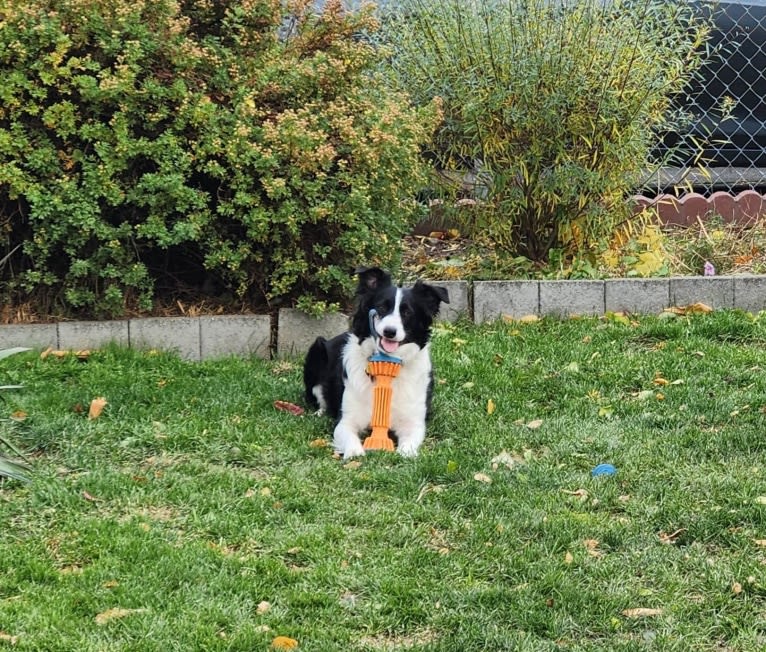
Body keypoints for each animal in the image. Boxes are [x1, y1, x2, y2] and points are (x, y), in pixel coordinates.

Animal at [304, 268, 452, 456]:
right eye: (381, 307)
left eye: (407, 312)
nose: (390, 331)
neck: (388, 361)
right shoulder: (345, 421)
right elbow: (351, 441)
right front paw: (355, 454)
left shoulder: (413, 423)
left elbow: (408, 447)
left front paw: (405, 454)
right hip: (317, 349)